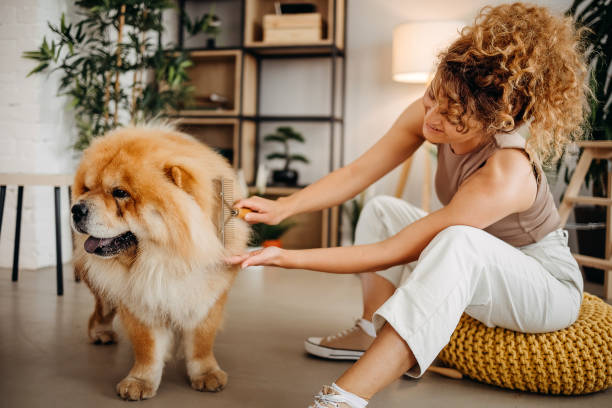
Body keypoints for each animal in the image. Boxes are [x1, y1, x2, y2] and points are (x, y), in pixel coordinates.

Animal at [68, 123, 246, 398]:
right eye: (87, 189)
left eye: (120, 193)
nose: (76, 209)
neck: (165, 259)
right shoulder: (139, 302)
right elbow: (147, 348)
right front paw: (139, 382)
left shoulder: (207, 296)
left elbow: (201, 343)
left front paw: (206, 375)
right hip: (106, 290)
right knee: (102, 309)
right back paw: (100, 333)